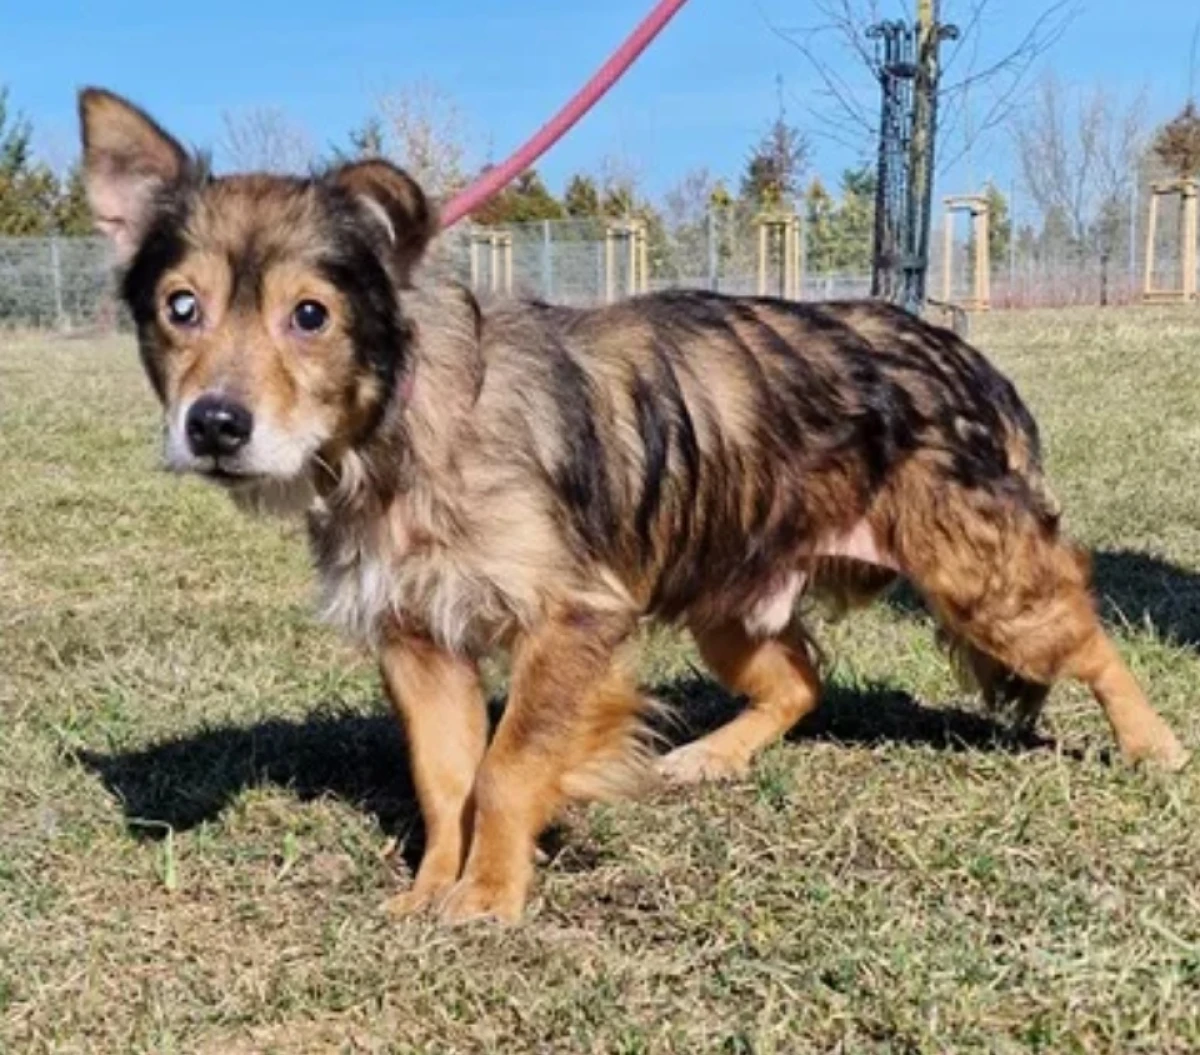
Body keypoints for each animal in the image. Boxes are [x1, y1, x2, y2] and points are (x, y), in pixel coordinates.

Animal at [79, 87, 1188, 924]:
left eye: (311, 314)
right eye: (181, 308)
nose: (215, 426)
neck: (399, 430)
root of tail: (962, 352)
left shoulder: (577, 618)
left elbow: (507, 765)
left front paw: (491, 894)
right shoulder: (416, 636)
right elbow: (445, 777)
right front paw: (435, 887)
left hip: (980, 579)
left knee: (1088, 628)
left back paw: (1153, 745)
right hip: (728, 598)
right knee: (801, 678)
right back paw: (708, 757)